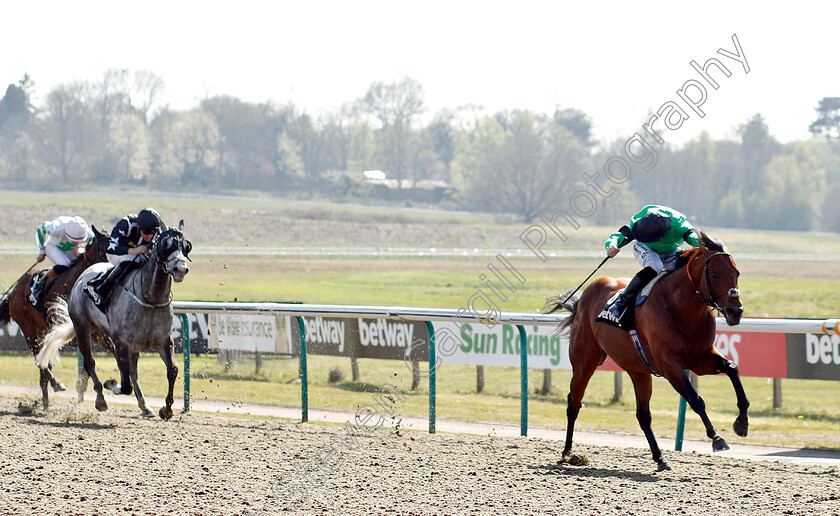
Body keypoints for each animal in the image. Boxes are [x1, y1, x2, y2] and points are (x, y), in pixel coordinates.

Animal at [0, 228, 110, 410]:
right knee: (39, 360)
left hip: (43, 331)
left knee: (43, 367)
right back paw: (56, 384)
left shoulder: (96, 332)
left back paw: (46, 402)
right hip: (28, 329)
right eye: (104, 248)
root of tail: (13, 292)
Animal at [35, 222, 190, 420]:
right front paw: (110, 383)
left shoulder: (163, 341)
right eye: (165, 244)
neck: (150, 298)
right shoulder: (122, 343)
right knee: (90, 363)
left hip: (108, 337)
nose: (180, 269)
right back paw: (100, 399)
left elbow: (172, 371)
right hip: (82, 328)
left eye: (186, 246)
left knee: (132, 373)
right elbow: (125, 385)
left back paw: (145, 407)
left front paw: (167, 408)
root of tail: (82, 275)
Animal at [544, 231, 748, 472]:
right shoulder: (670, 366)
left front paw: (741, 423)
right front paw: (717, 439)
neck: (679, 307)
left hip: (638, 371)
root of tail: (584, 297)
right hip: (585, 362)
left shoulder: (700, 358)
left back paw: (660, 457)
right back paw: (567, 452)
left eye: (736, 272)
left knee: (643, 416)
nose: (735, 311)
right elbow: (695, 400)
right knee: (574, 402)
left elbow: (732, 368)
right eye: (714, 273)